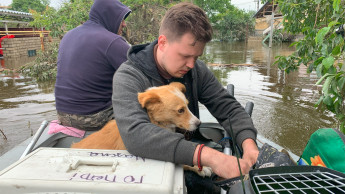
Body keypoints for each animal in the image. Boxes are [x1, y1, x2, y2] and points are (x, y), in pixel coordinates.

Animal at [71, 82, 211, 177]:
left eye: (187, 106)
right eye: (180, 110)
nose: (199, 123)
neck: (154, 121)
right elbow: (183, 161)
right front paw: (201, 168)